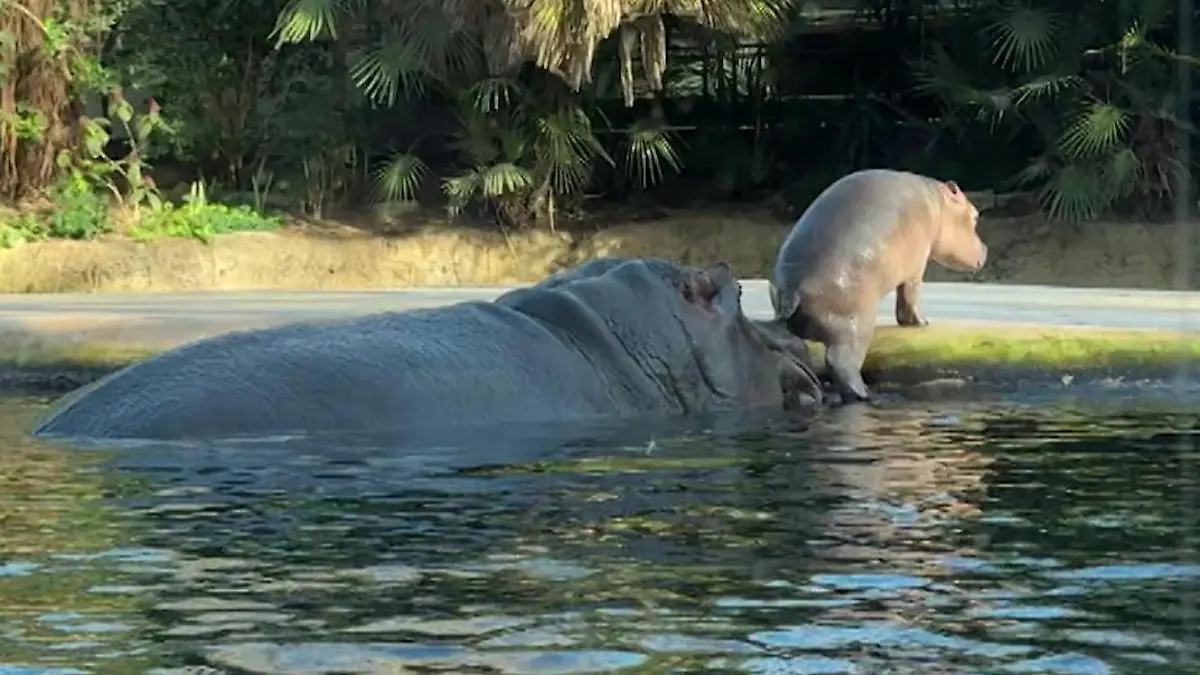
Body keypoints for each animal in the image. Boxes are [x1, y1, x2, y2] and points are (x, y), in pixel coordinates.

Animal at [770, 169, 988, 403]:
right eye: (975, 216)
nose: (985, 248)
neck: (938, 204)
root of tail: (794, 290)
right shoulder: (917, 264)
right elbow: (910, 295)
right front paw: (922, 322)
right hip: (856, 326)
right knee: (841, 363)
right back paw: (864, 394)